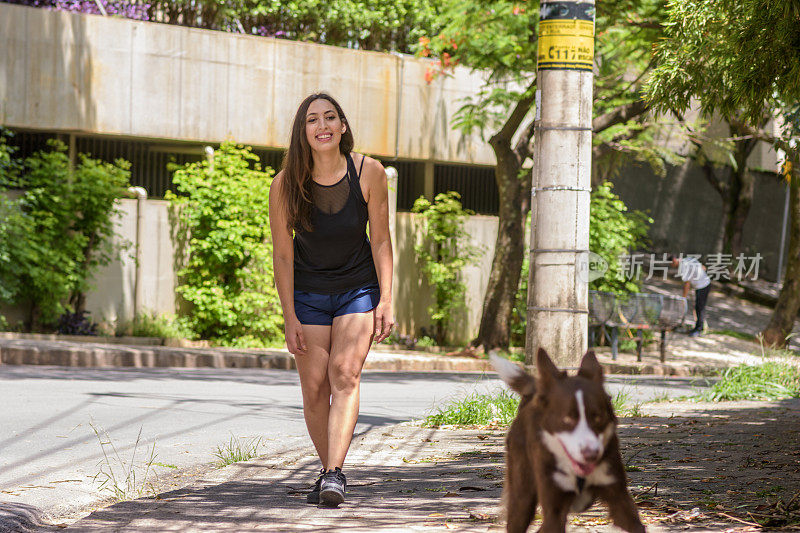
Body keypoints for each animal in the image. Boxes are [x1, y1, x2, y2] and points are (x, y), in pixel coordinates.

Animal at [490, 350, 648, 532]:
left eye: (598, 418)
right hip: (522, 494)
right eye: (567, 419)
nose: (591, 454)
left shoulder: (618, 496)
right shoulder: (554, 508)